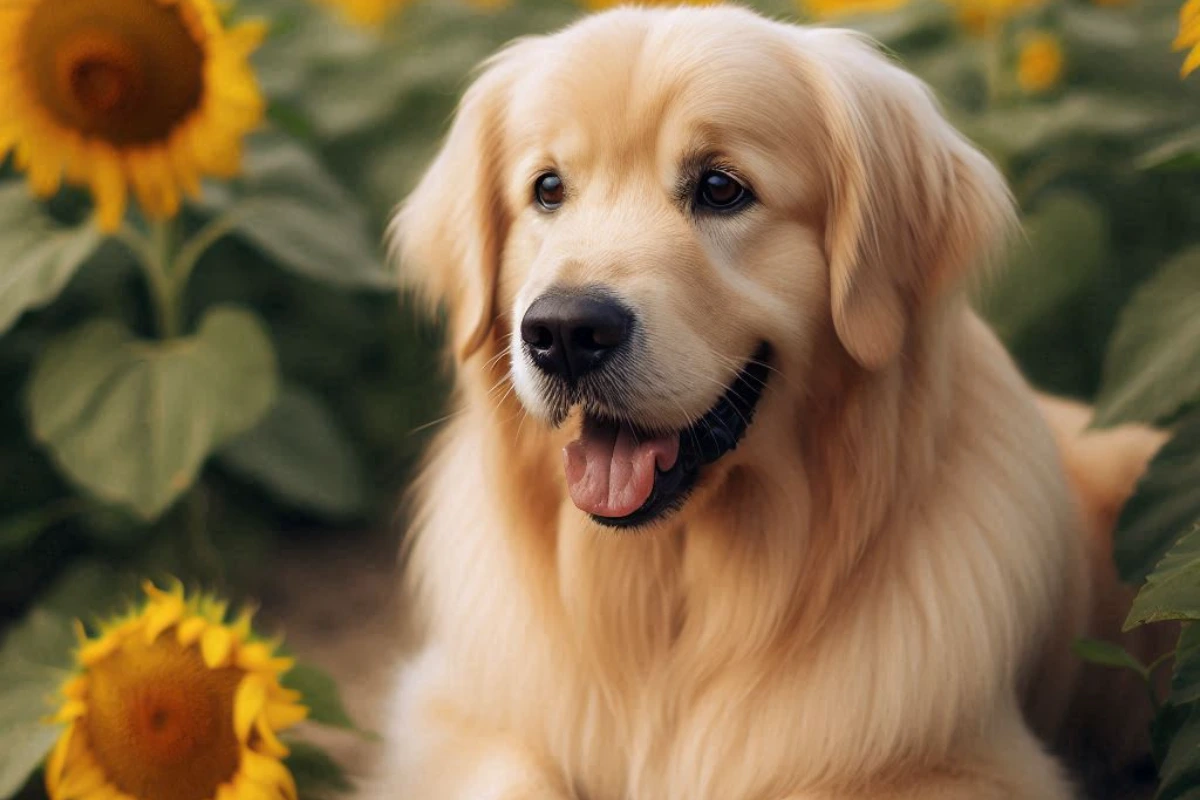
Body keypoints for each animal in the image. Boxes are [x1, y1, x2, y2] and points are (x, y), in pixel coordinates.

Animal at [367, 7, 1171, 800]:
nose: (564, 333)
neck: (674, 594)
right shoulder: (461, 713)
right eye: (548, 189)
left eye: (722, 188)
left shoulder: (966, 764)